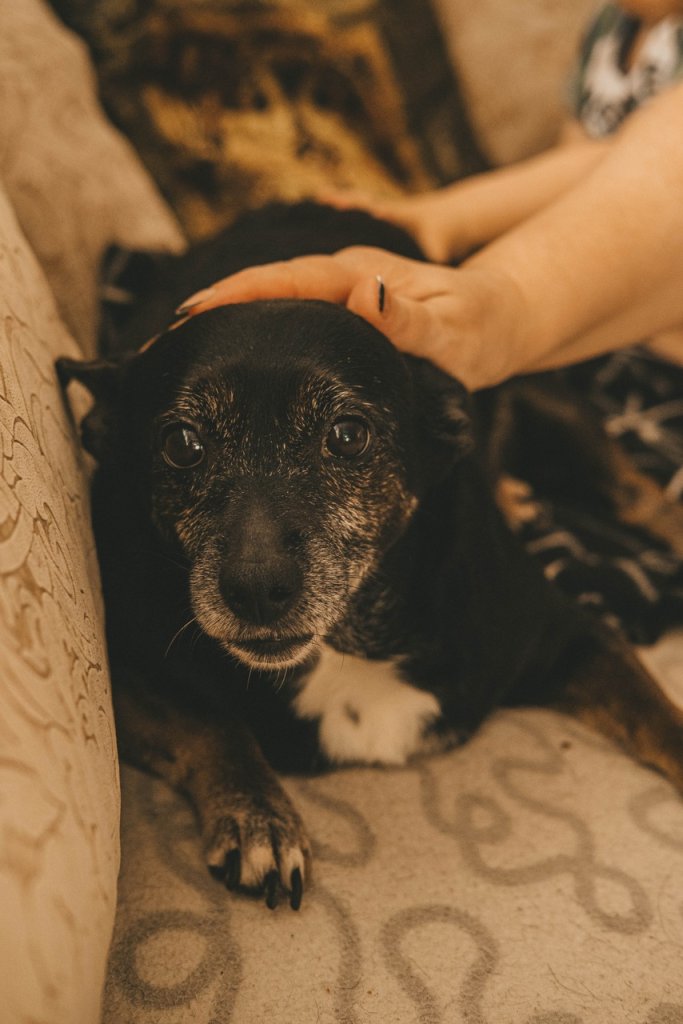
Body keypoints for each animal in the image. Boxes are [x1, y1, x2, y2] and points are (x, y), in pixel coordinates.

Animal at [57, 203, 683, 909]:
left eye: (349, 436)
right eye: (182, 444)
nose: (255, 587)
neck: (346, 640)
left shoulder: (574, 633)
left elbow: (662, 720)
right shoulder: (127, 668)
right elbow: (212, 723)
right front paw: (258, 818)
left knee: (641, 496)